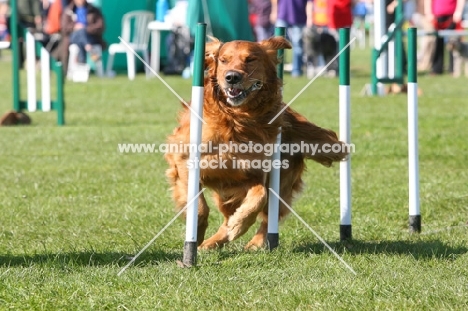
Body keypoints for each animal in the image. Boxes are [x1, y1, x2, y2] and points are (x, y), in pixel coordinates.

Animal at [165, 36, 348, 251]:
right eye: (223, 60)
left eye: (250, 59)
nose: (232, 77)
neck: (237, 119)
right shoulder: (184, 160)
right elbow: (199, 206)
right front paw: (197, 234)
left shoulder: (251, 175)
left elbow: (260, 196)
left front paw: (239, 223)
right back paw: (210, 243)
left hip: (280, 180)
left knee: (268, 215)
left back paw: (253, 241)